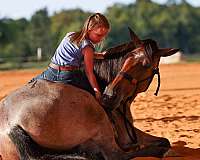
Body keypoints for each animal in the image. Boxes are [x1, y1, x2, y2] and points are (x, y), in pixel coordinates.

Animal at [0, 27, 178, 159]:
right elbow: (165, 142)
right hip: (99, 120)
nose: (109, 95)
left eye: (146, 64)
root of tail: (10, 125)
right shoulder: (126, 136)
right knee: (117, 155)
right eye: (127, 58)